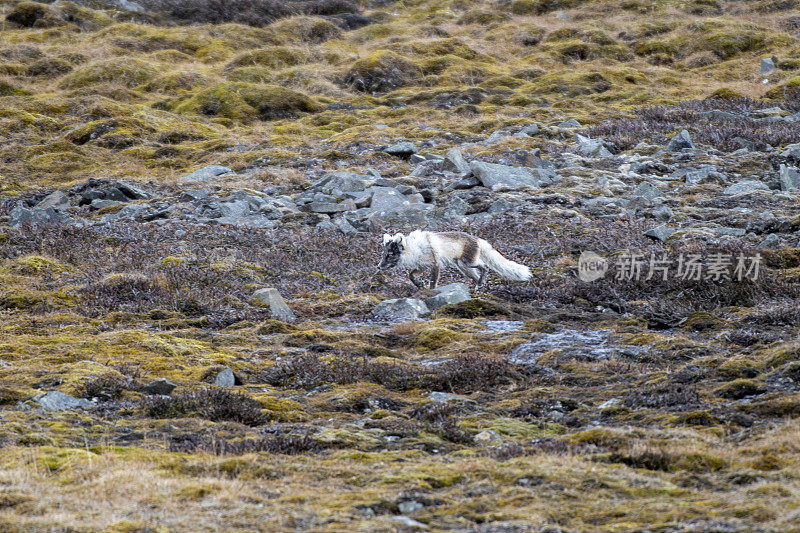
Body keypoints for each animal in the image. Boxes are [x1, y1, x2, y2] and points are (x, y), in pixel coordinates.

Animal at [376, 229, 532, 286]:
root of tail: (478, 238)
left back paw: (480, 283)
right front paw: (419, 284)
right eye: (383, 254)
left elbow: (433, 282)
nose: (378, 266)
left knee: (484, 267)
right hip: (463, 267)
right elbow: (410, 275)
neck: (416, 249)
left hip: (467, 263)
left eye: (390, 255)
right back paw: (478, 285)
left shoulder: (435, 264)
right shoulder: (421, 266)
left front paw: (430, 291)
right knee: (478, 273)